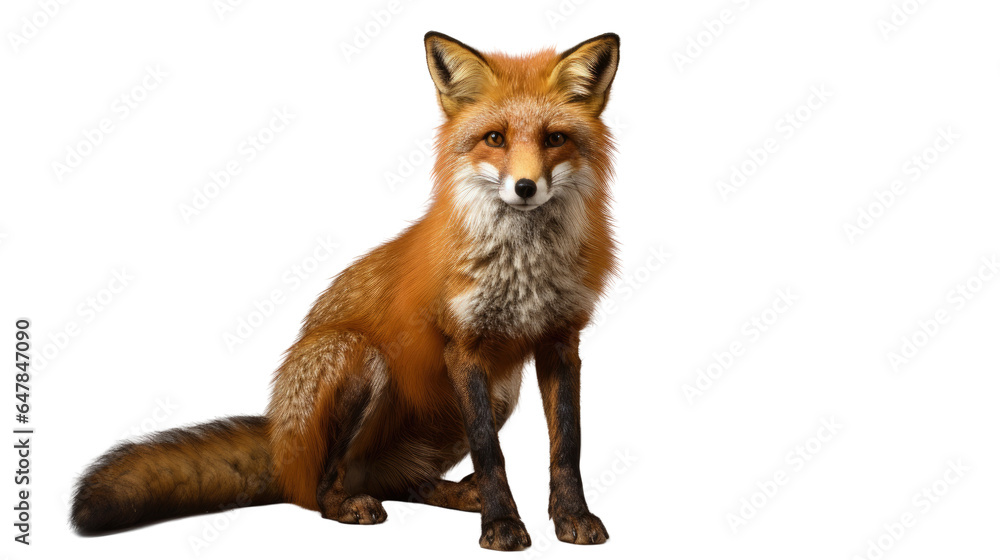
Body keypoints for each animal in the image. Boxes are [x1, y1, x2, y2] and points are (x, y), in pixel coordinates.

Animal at [71, 31, 621, 551]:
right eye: (494, 138)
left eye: (554, 138)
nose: (526, 187)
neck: (525, 268)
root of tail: (280, 441)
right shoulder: (464, 348)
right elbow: (491, 454)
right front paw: (502, 523)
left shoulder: (560, 341)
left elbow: (567, 446)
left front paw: (572, 517)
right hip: (357, 357)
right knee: (319, 491)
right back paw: (351, 505)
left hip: (500, 390)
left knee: (405, 483)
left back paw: (453, 493)